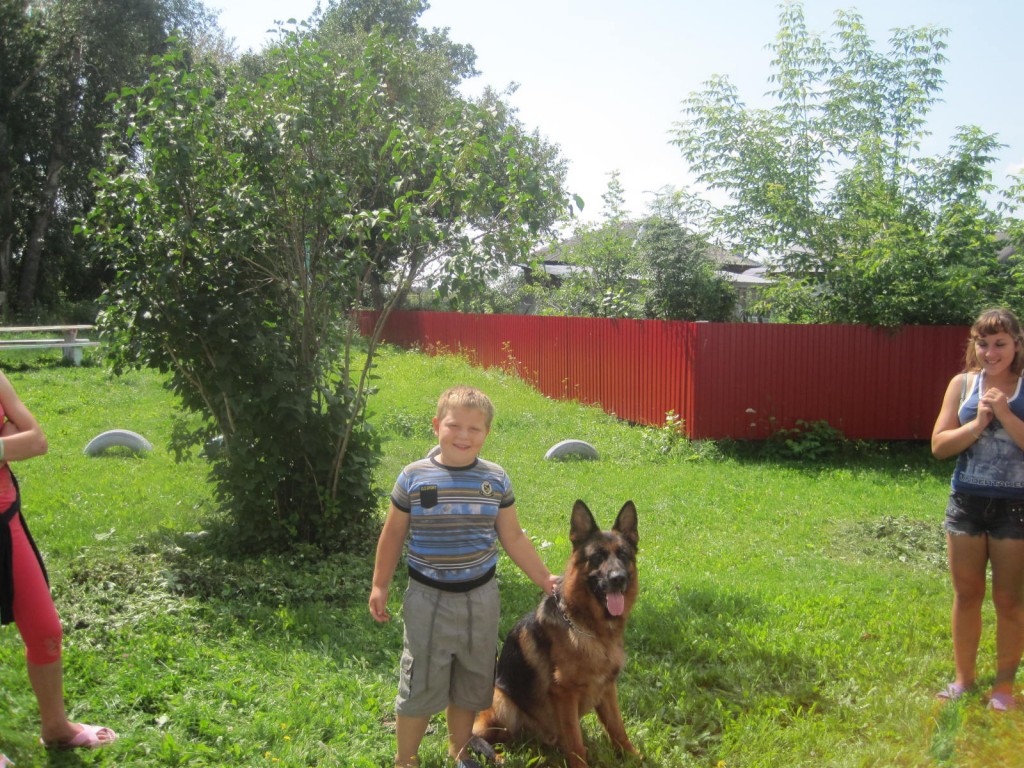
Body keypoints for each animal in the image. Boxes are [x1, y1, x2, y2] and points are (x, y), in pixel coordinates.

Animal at [472, 499, 640, 768]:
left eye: (623, 555)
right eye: (597, 557)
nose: (618, 579)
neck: (591, 629)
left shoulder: (607, 688)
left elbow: (617, 728)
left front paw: (633, 756)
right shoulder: (565, 695)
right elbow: (576, 742)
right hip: (502, 700)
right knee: (472, 735)